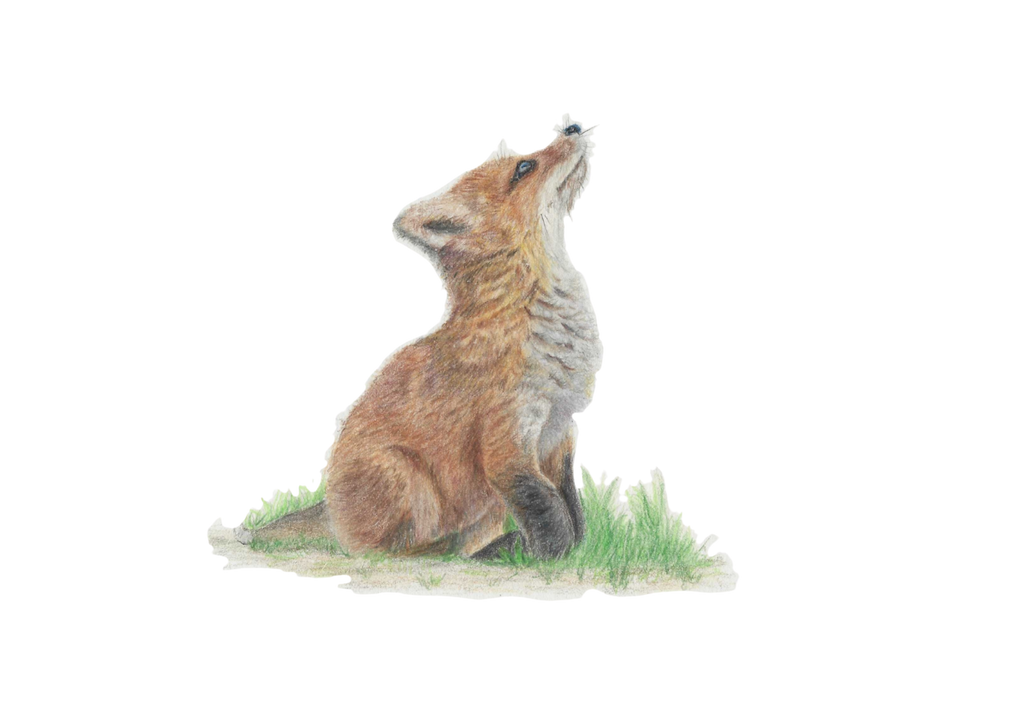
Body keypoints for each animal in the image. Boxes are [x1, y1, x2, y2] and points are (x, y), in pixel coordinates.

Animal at [241, 112, 605, 560]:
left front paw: (575, 551)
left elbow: (572, 510)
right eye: (524, 168)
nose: (571, 126)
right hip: (404, 476)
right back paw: (477, 552)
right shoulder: (505, 445)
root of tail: (330, 512)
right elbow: (548, 514)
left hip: (476, 507)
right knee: (395, 551)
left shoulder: (560, 434)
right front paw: (550, 558)